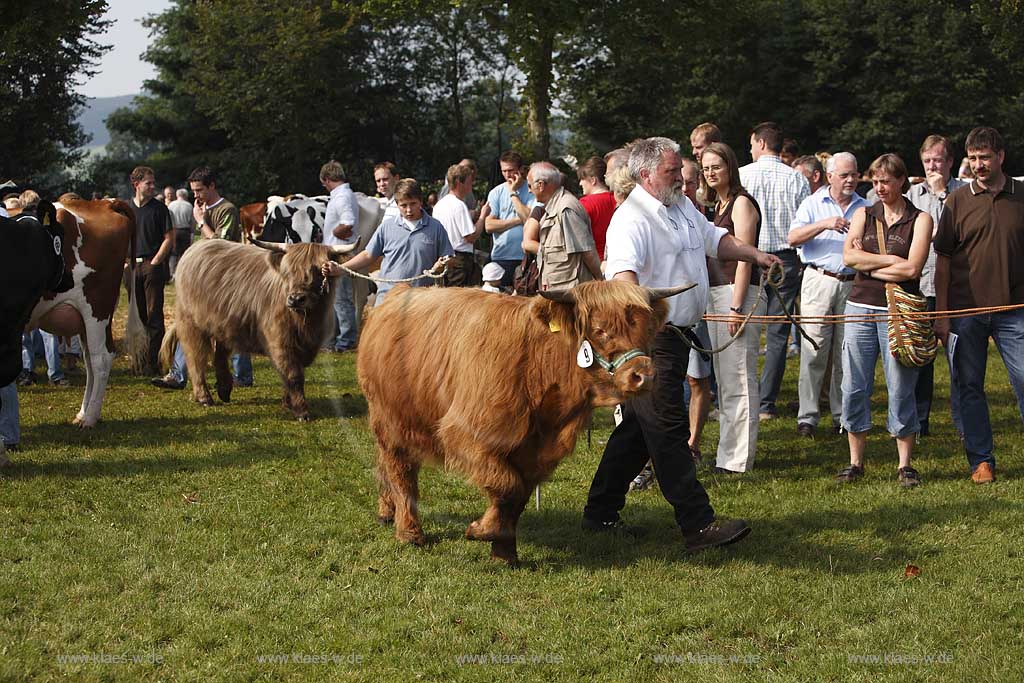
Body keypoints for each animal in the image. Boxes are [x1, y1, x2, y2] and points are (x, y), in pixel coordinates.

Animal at [163, 240, 360, 421]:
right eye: (286, 272)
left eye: (319, 271)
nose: (296, 299)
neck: (306, 322)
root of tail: (197, 245)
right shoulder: (279, 342)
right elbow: (293, 375)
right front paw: (301, 411)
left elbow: (291, 373)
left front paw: (288, 403)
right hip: (190, 323)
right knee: (195, 357)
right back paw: (204, 397)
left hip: (223, 322)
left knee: (220, 354)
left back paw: (224, 390)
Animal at [356, 280, 692, 565]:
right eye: (599, 330)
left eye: (645, 331)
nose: (644, 376)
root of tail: (395, 295)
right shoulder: (465, 435)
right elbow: (506, 485)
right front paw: (482, 530)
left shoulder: (533, 453)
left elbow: (517, 497)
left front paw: (504, 553)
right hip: (391, 420)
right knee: (401, 470)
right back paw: (409, 532)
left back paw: (387, 511)